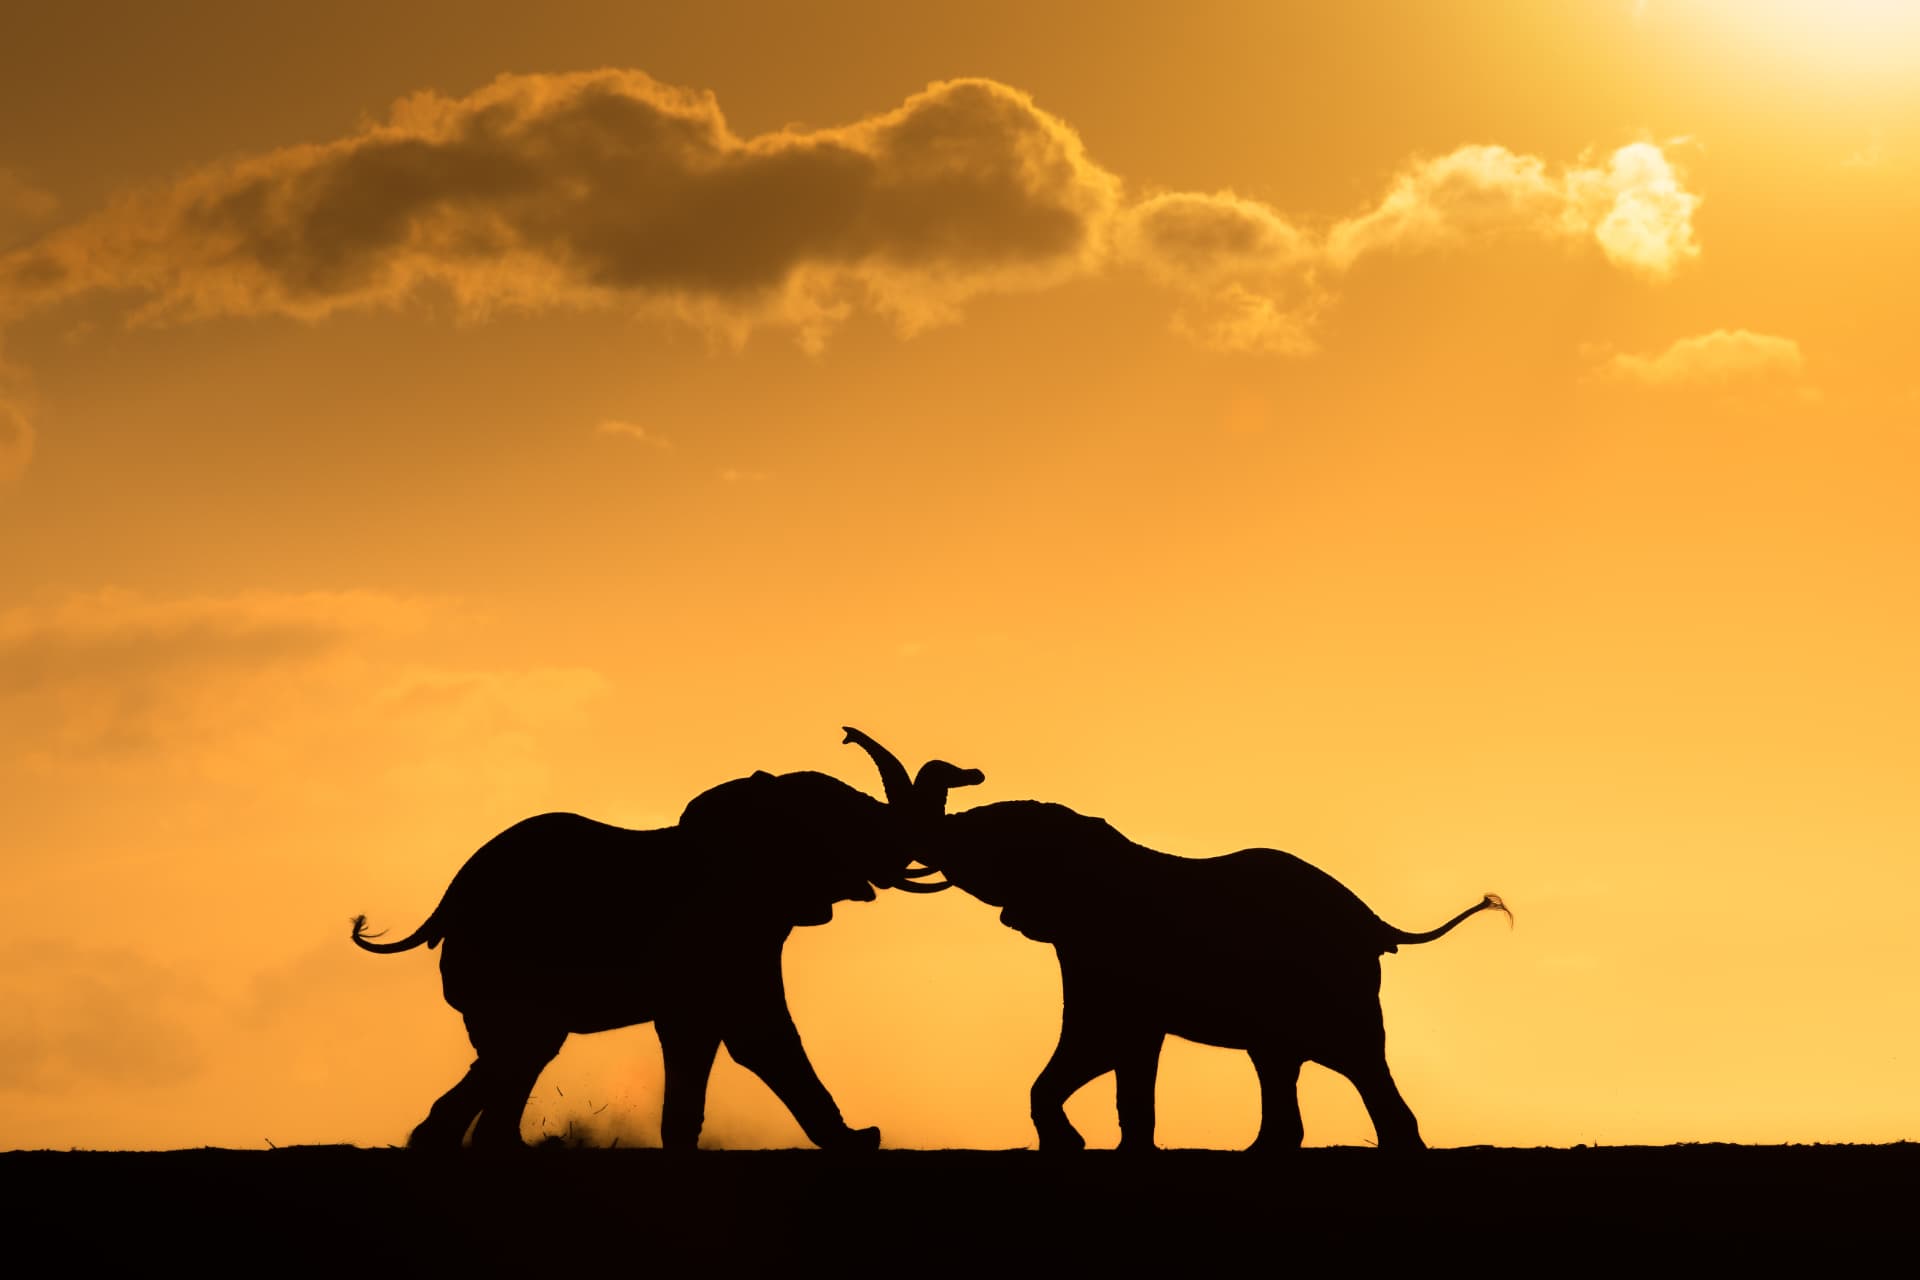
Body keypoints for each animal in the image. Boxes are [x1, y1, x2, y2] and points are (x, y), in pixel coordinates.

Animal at [351, 728, 982, 1151]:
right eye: (850, 822)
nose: (970, 774)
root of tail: (446, 904)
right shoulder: (726, 924)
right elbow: (755, 1033)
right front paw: (862, 1140)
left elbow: (707, 1033)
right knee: (522, 1045)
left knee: (516, 1051)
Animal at [858, 737, 1509, 1153]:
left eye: (985, 838)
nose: (971, 772)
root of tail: (1376, 922)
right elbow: (1124, 1052)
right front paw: (1108, 1147)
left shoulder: (1108, 948)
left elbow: (1103, 1040)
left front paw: (1072, 1145)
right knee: (1281, 1062)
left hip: (1335, 984)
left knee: (1358, 1059)